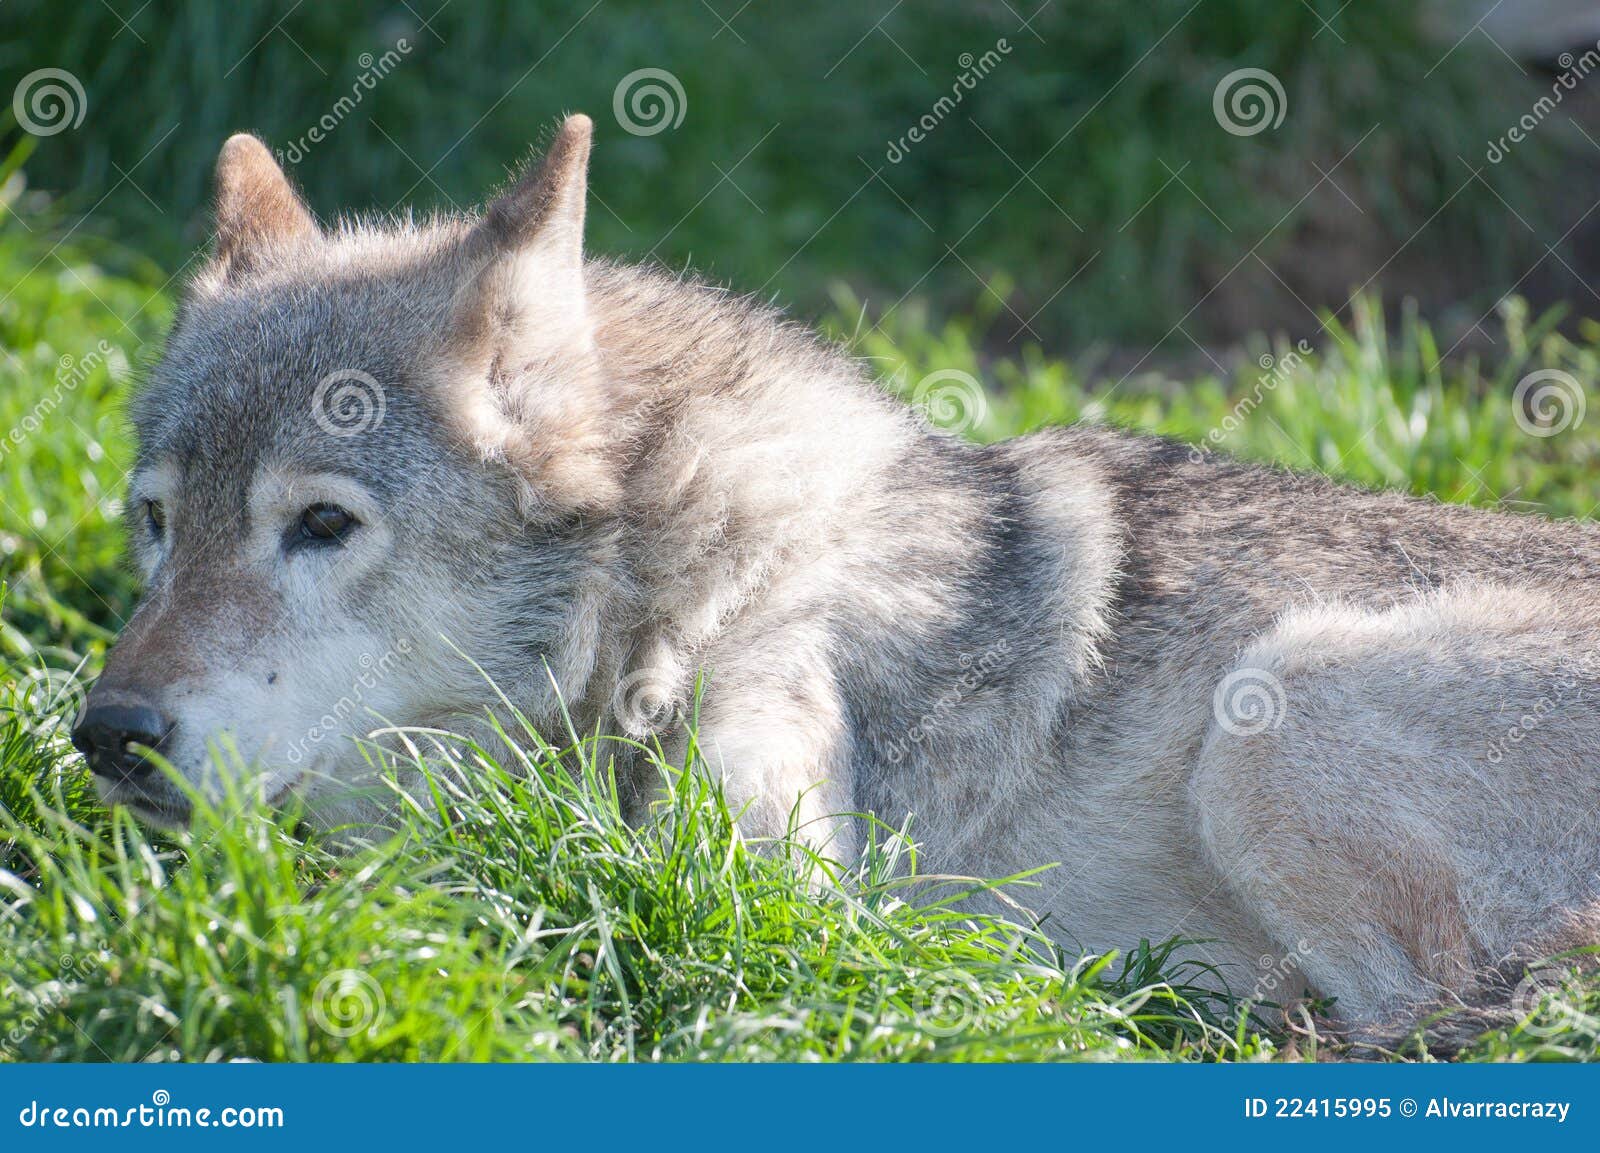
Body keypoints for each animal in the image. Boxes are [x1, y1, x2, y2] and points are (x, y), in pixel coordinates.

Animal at [73, 113, 1600, 1041]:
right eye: (157, 523)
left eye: (321, 524)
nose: (106, 735)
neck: (664, 585)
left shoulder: (770, 886)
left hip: (1274, 705)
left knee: (1436, 1024)